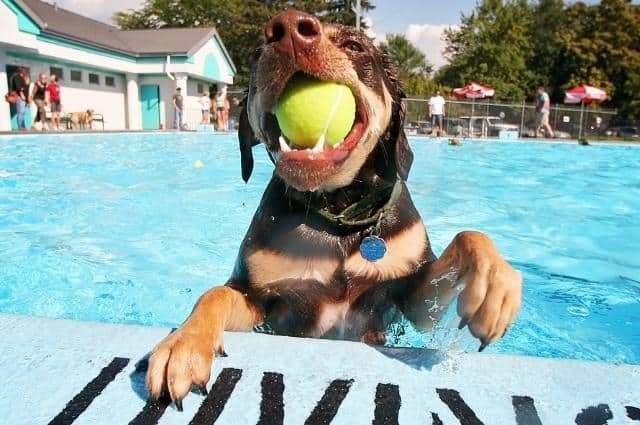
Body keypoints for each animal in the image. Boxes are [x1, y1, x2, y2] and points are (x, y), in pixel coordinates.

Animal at [148, 9, 524, 408]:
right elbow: (214, 294)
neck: (339, 213)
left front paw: (494, 283)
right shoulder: (258, 300)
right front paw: (183, 343)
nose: (288, 29)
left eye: (355, 45)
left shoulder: (411, 297)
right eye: (257, 53)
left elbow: (468, 237)